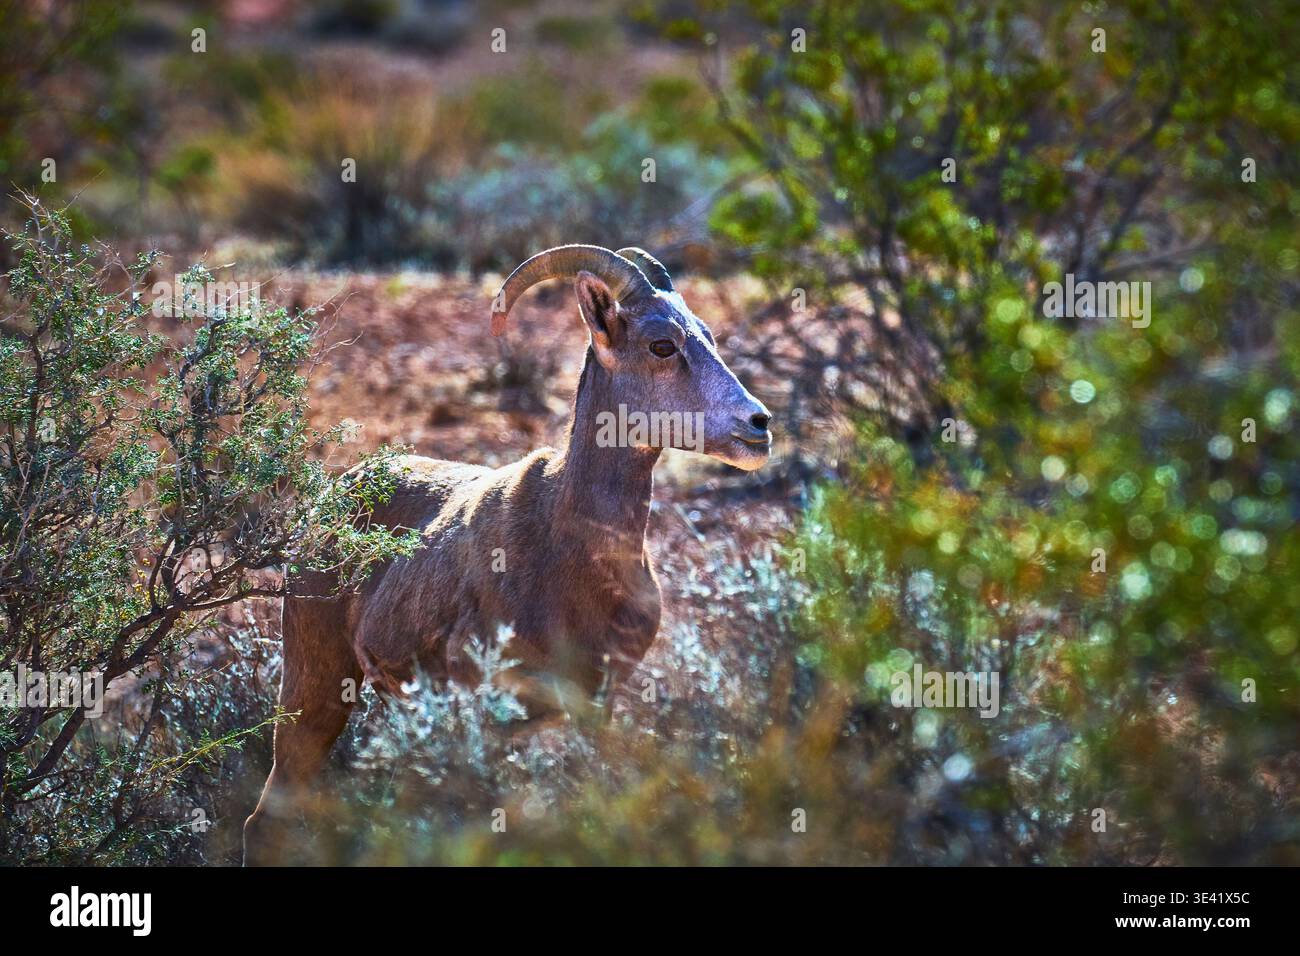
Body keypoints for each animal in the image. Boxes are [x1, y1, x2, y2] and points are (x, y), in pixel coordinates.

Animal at [243, 245, 772, 864]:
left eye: (706, 335)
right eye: (662, 345)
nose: (758, 425)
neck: (573, 558)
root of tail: (332, 499)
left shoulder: (595, 704)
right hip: (316, 688)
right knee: (264, 818)